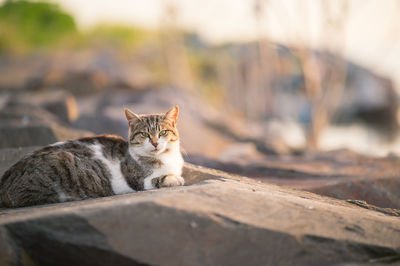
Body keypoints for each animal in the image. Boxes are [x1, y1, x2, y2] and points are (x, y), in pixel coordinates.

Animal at [0, 106, 184, 208]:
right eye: (144, 134)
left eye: (163, 132)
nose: (155, 143)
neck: (166, 158)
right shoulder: (139, 180)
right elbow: (160, 179)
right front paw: (175, 179)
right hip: (60, 162)